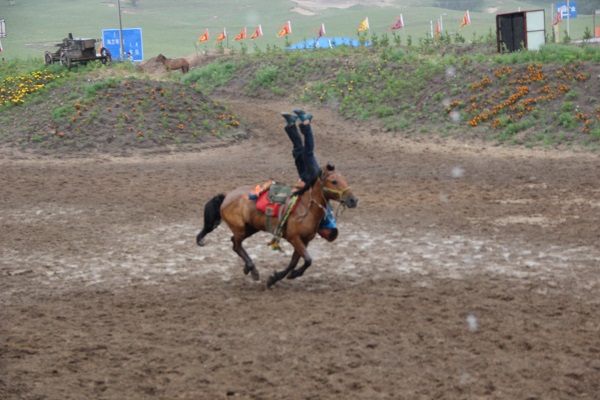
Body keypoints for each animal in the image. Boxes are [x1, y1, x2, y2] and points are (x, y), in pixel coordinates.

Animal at [196, 163, 356, 288]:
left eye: (344, 179)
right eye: (334, 181)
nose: (353, 200)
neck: (305, 208)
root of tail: (227, 195)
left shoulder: (304, 241)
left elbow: (294, 262)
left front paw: (276, 278)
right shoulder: (294, 238)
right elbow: (308, 260)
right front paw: (289, 275)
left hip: (250, 228)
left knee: (234, 244)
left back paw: (249, 268)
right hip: (240, 229)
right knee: (237, 244)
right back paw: (252, 269)